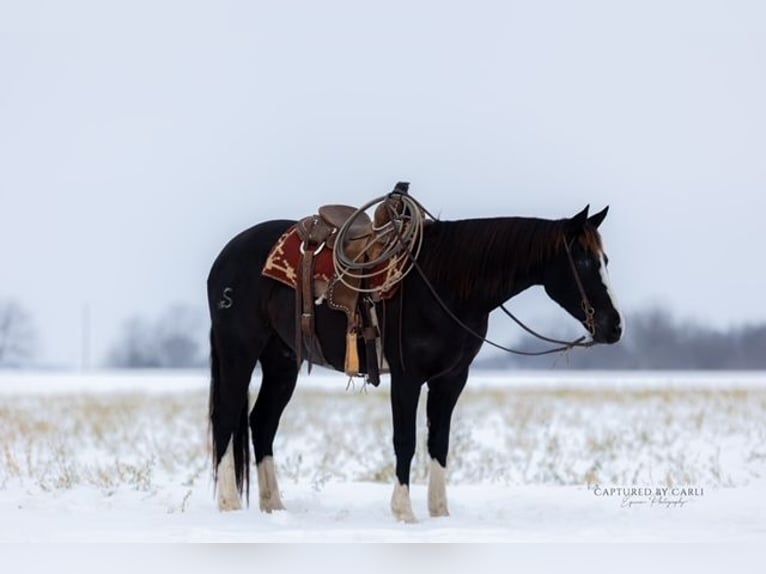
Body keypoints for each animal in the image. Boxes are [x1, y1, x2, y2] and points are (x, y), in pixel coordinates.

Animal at [206, 202, 623, 522]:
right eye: (584, 262)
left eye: (605, 259)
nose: (614, 326)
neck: (445, 284)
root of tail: (225, 256)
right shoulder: (407, 376)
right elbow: (404, 440)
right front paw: (404, 512)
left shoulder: (451, 378)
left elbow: (439, 441)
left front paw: (440, 513)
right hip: (238, 349)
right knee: (227, 417)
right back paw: (228, 503)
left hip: (282, 360)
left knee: (262, 423)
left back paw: (274, 506)